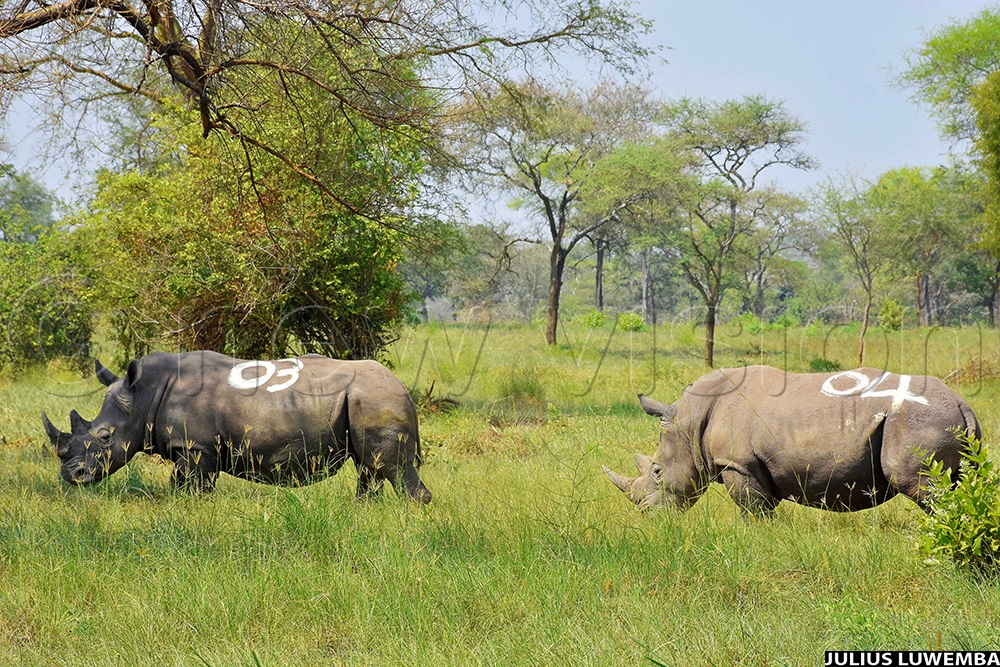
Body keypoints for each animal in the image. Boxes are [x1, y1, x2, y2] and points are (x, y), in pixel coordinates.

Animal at [42, 351, 431, 502]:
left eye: (105, 436)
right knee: (370, 468)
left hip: (377, 398)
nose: (70, 475)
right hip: (369, 399)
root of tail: (403, 387)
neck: (143, 396)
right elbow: (183, 486)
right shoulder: (192, 448)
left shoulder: (195, 447)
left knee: (391, 468)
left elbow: (193, 488)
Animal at [604, 365, 980, 514]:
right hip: (944, 424)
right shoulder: (756, 468)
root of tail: (962, 403)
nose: (647, 514)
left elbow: (753, 513)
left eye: (656, 471)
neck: (690, 420)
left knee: (922, 488)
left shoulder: (738, 465)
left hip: (918, 421)